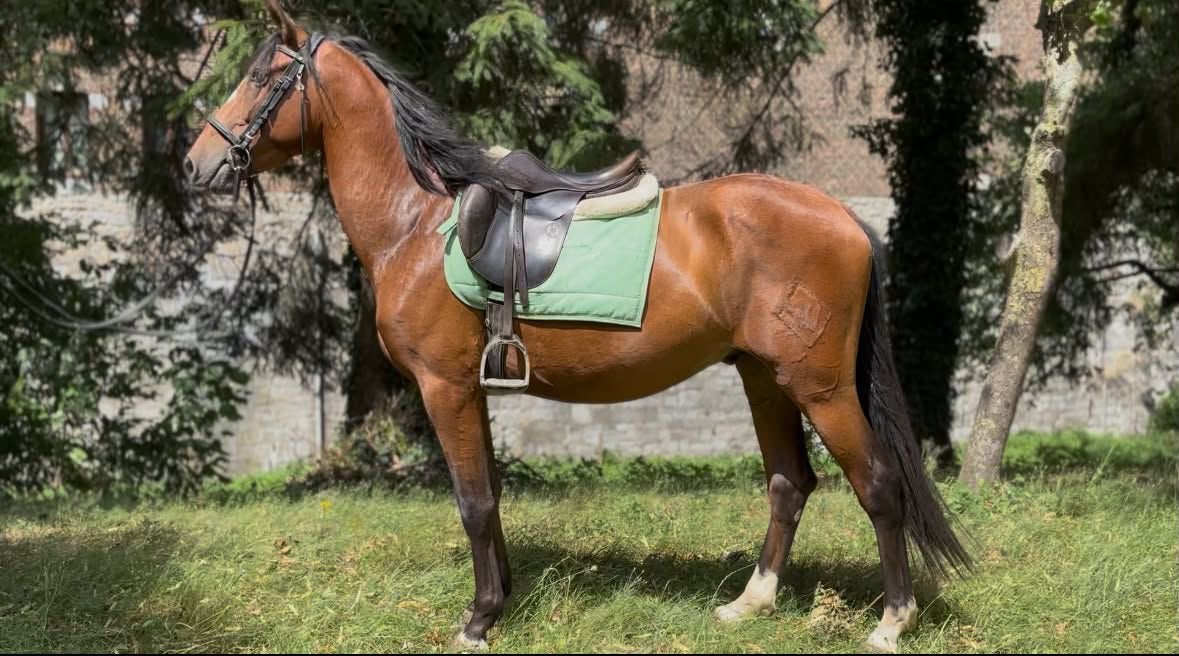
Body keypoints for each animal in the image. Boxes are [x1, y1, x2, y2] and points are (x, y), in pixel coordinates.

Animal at [184, 2, 969, 651]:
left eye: (261, 77)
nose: (196, 164)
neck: (418, 221)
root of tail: (844, 218)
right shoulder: (473, 390)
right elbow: (492, 494)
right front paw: (503, 599)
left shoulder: (444, 388)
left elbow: (472, 501)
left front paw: (477, 620)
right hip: (764, 378)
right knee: (788, 482)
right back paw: (751, 603)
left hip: (821, 386)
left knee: (877, 484)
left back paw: (890, 622)